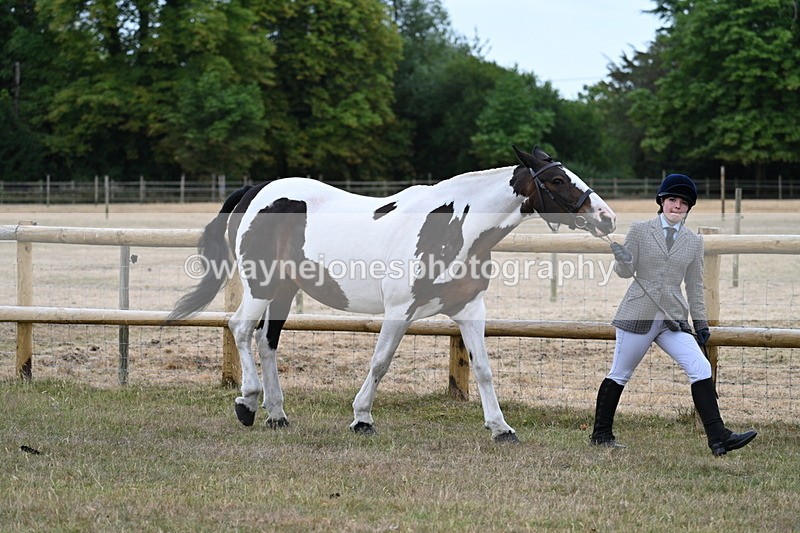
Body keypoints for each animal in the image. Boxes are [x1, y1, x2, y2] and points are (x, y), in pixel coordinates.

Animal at [168, 145, 616, 442]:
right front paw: (362, 418)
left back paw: (276, 414)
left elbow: (484, 369)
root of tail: (254, 190)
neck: (453, 225)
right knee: (241, 329)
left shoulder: (470, 310)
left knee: (267, 341)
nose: (607, 218)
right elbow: (380, 363)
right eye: (557, 179)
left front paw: (500, 428)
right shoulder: (400, 311)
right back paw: (247, 403)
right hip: (260, 285)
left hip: (283, 289)